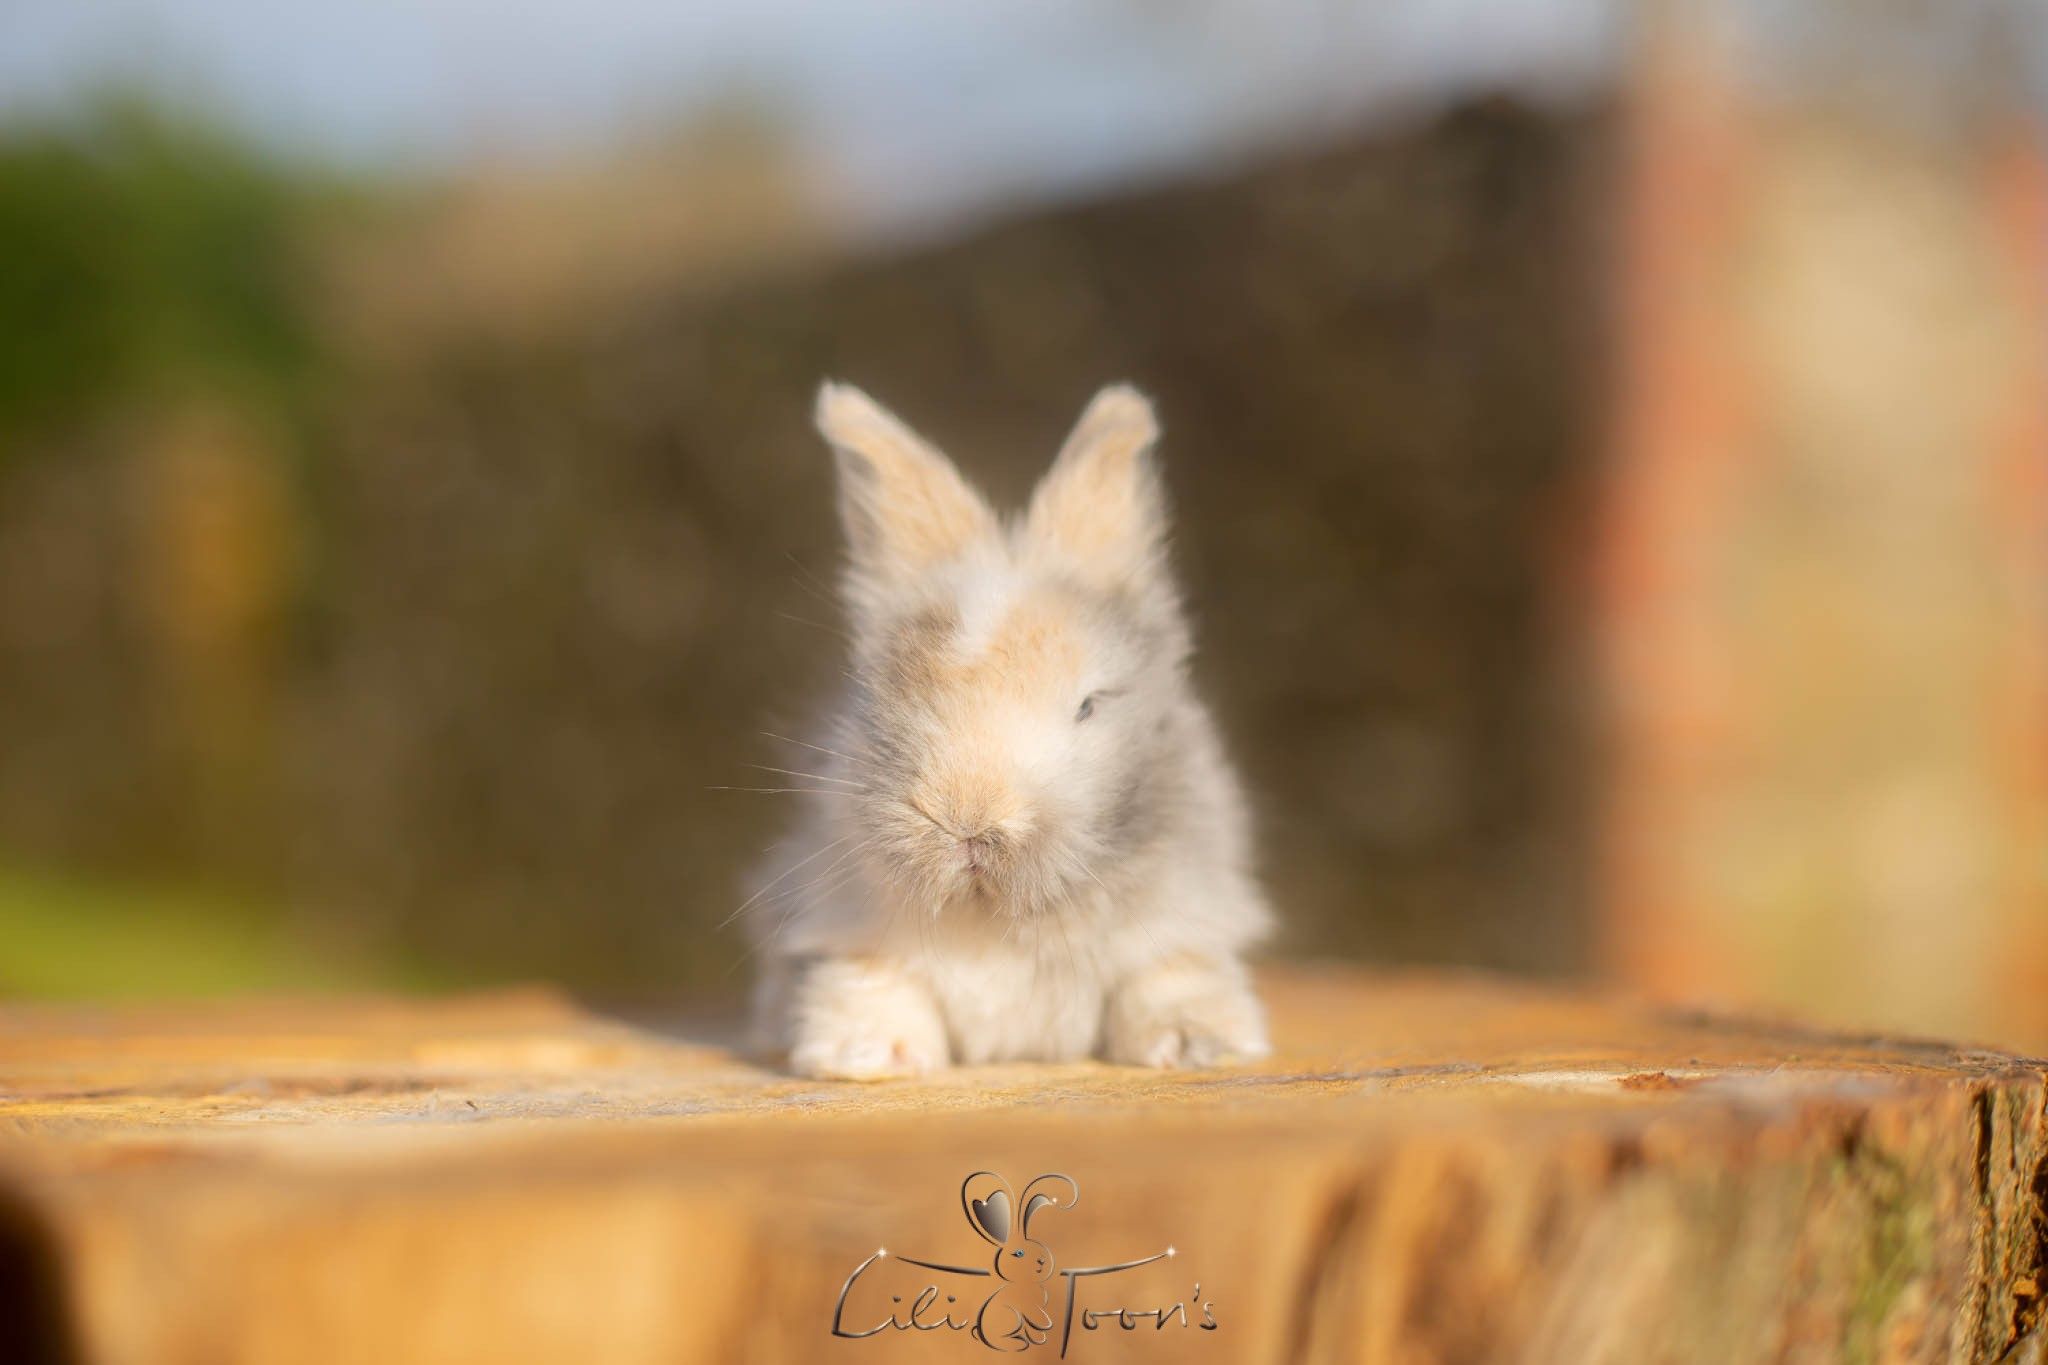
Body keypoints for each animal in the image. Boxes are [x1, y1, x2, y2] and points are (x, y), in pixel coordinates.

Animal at [748, 380, 1272, 1079]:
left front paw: (1196, 1046)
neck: (997, 921)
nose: (969, 819)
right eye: (882, 693)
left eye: (1088, 705)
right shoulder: (848, 933)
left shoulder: (1182, 922)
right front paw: (867, 1057)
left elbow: (1167, 979)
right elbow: (872, 986)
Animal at [961, 1172, 1076, 1352]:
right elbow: (1036, 1320)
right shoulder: (1029, 1309)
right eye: (1019, 1253)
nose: (1042, 1261)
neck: (1025, 1282)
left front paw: (1038, 1336)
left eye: (1040, 1248)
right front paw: (1042, 1331)